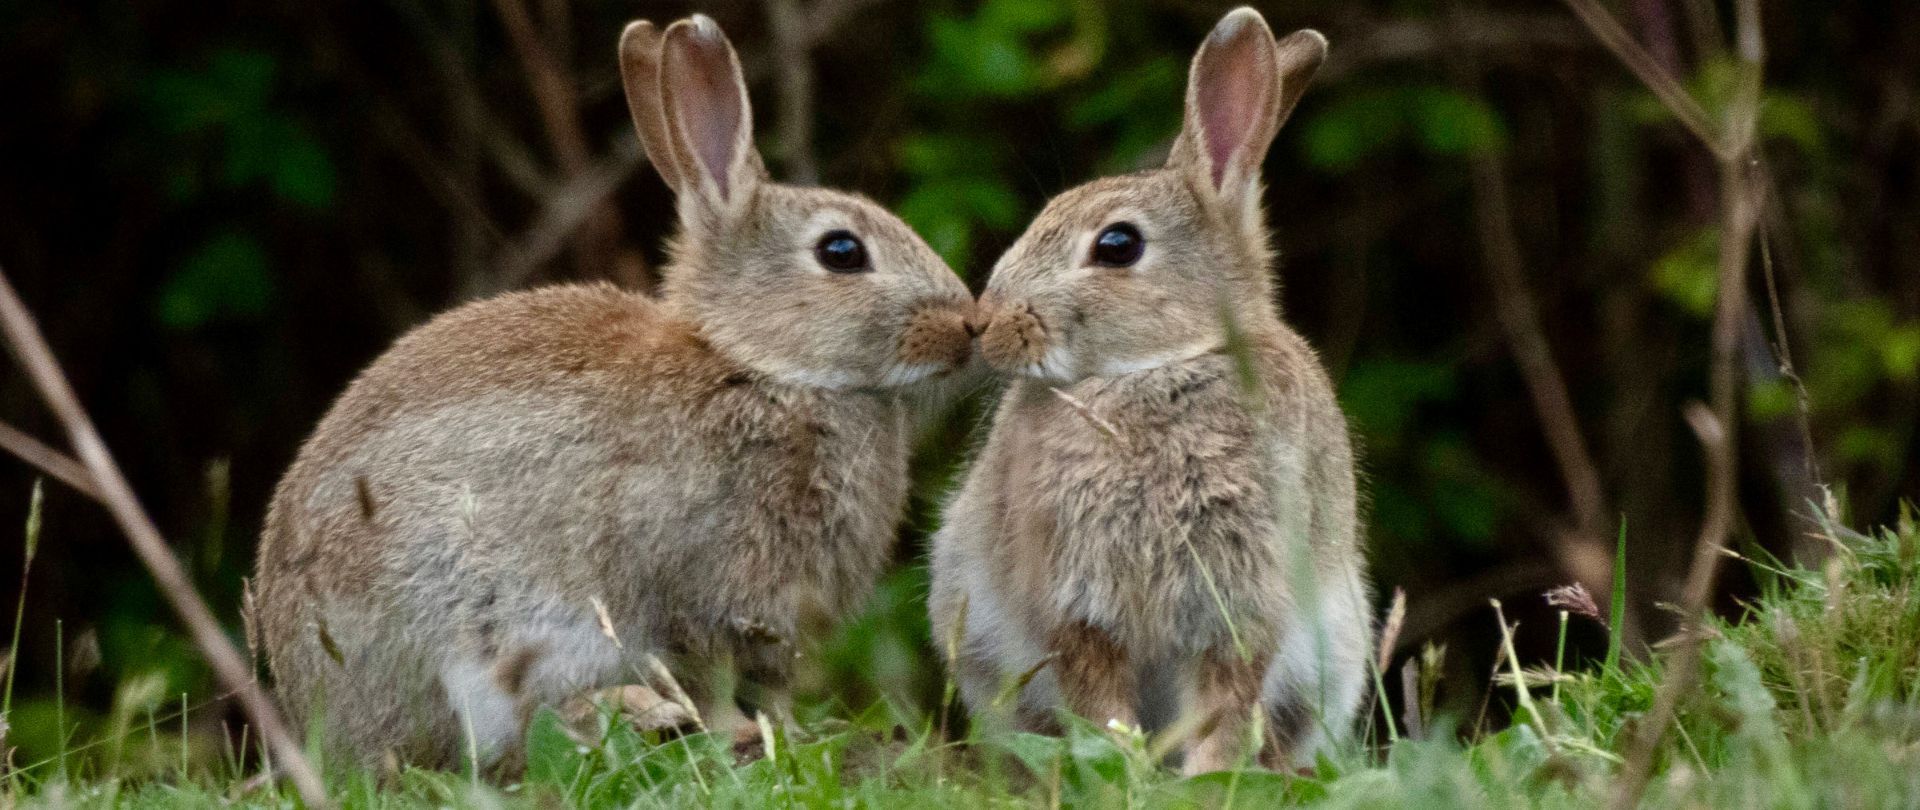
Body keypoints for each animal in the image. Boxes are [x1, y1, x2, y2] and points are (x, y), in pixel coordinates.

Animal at [247, 14, 975, 771]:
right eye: (842, 252)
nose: (969, 323)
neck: (758, 365)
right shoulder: (701, 593)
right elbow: (713, 676)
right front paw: (743, 736)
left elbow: (770, 690)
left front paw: (793, 734)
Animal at [925, 7, 1367, 779]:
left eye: (1118, 246)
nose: (989, 324)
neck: (1158, 370)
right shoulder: (1079, 602)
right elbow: (1099, 693)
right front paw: (1121, 766)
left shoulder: (1245, 598)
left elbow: (1227, 701)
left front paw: (1207, 777)